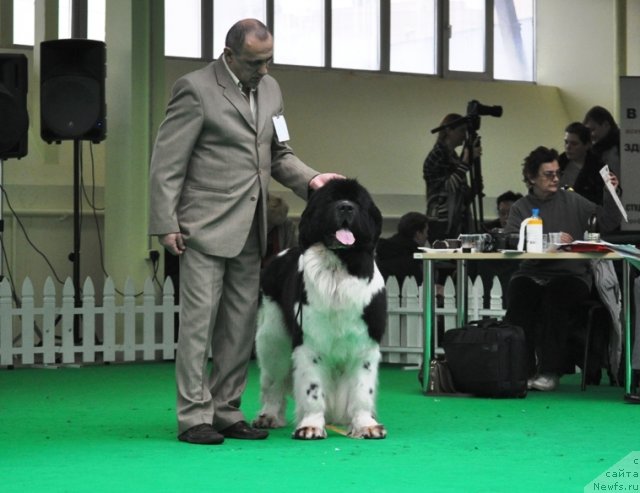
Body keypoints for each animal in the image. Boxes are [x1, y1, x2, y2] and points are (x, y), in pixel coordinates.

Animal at [254, 177, 384, 438]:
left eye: (358, 202)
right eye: (331, 200)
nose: (346, 207)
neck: (339, 267)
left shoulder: (365, 346)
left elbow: (362, 390)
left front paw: (366, 425)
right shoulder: (310, 343)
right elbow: (312, 389)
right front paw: (311, 426)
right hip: (273, 340)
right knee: (273, 382)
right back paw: (269, 416)